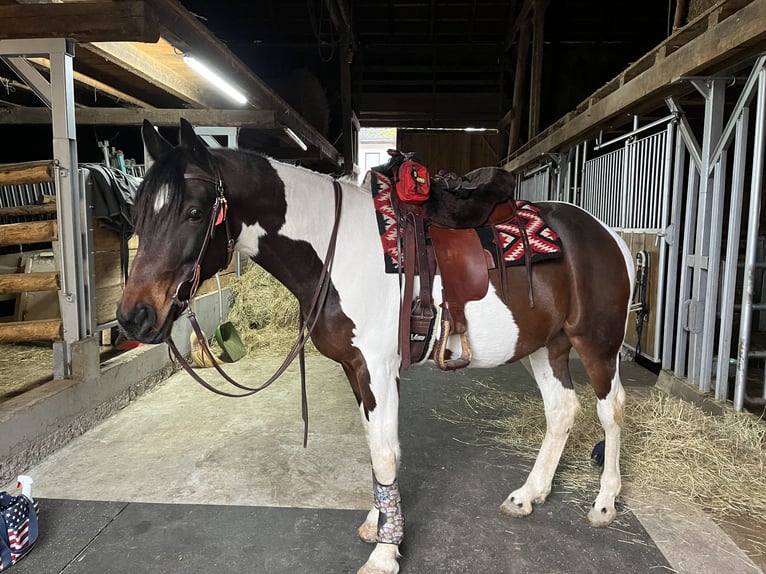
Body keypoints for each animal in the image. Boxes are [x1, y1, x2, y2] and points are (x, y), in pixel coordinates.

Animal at [118, 119, 636, 572]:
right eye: (137, 212)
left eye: (194, 211)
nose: (133, 316)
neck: (337, 251)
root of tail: (608, 234)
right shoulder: (358, 369)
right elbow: (381, 445)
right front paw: (381, 522)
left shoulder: (377, 368)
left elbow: (384, 451)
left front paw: (386, 554)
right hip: (546, 346)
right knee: (562, 410)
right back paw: (529, 495)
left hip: (596, 343)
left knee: (610, 410)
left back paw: (604, 504)